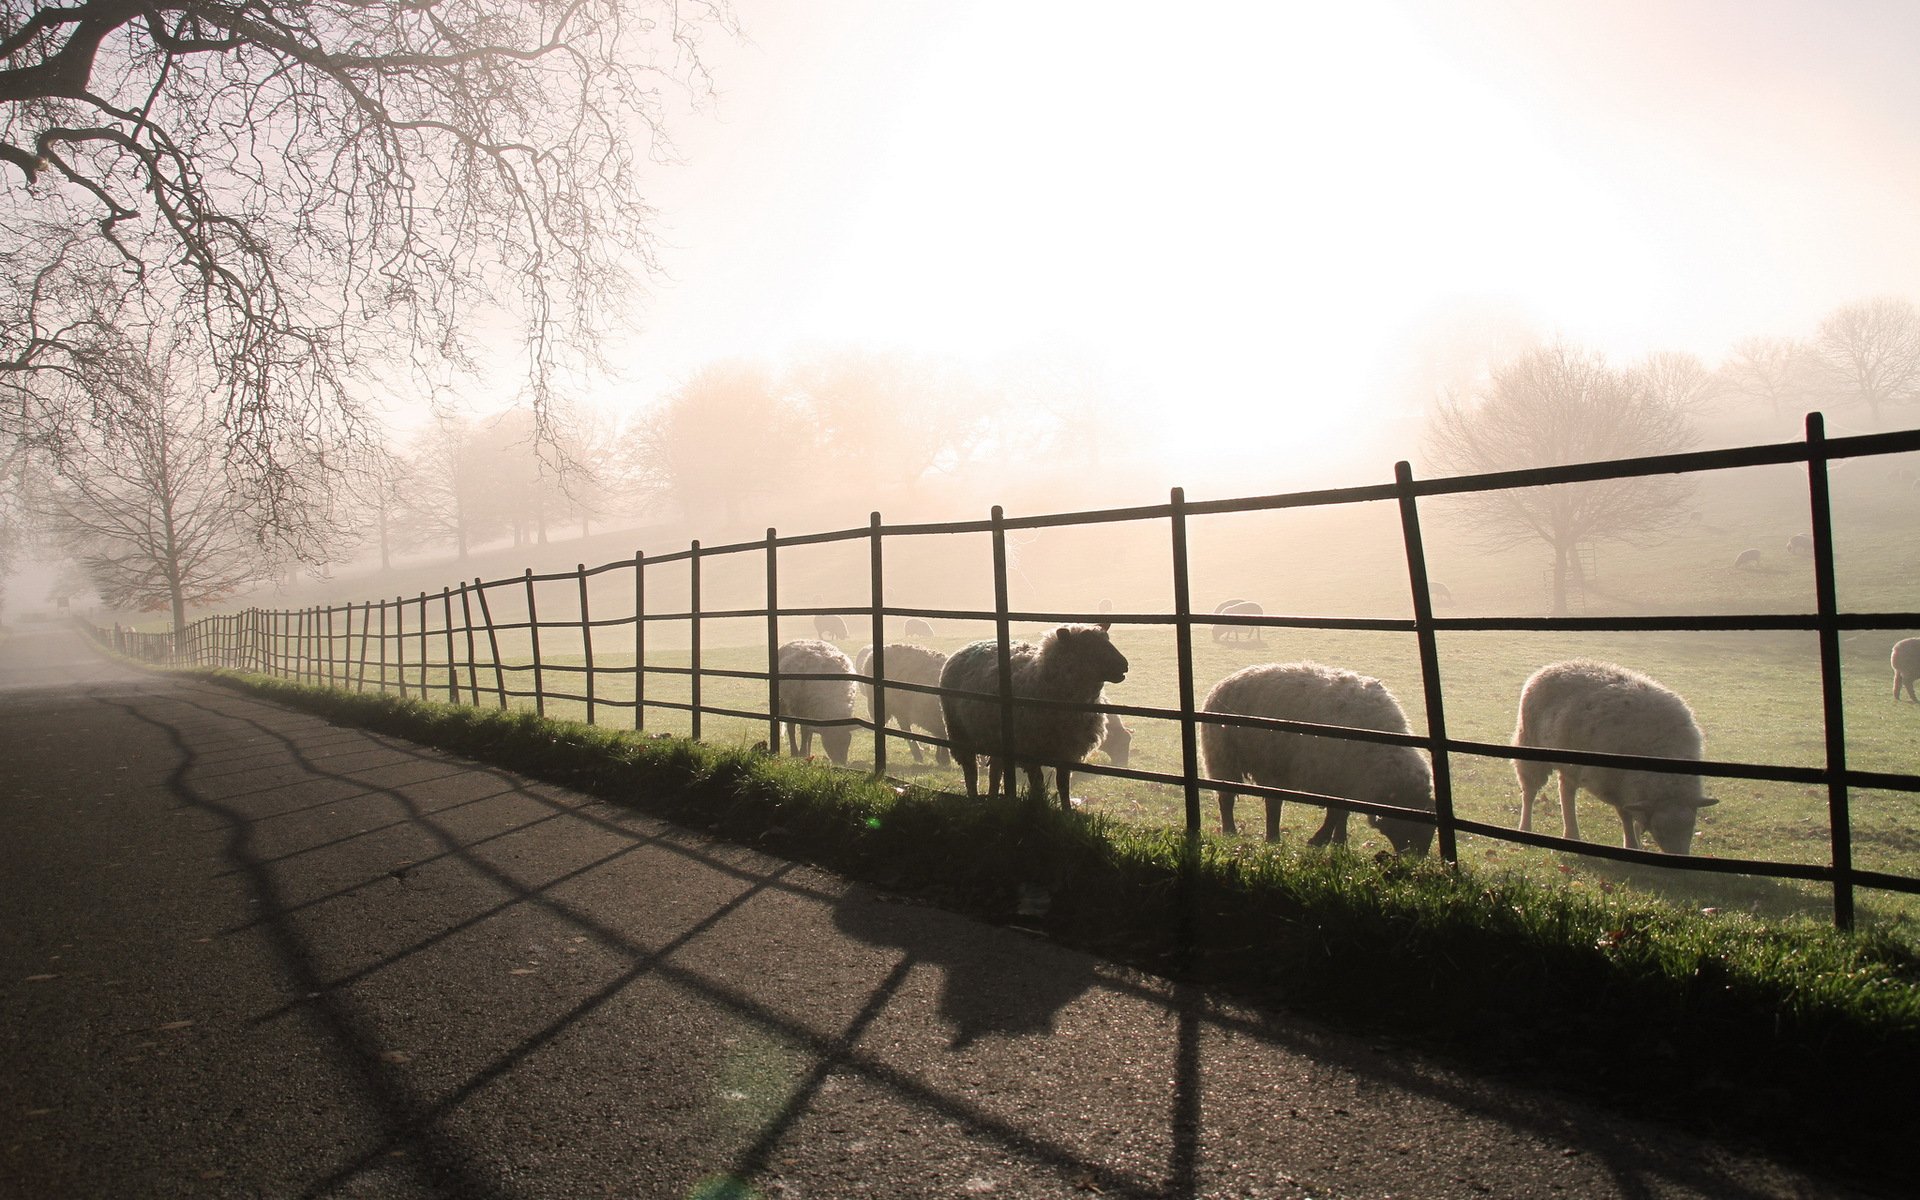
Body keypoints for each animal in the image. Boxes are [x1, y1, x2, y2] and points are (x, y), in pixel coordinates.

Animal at [938, 623, 1129, 809]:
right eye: (1087, 644)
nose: (1125, 665)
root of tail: (968, 646)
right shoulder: (1030, 750)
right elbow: (1038, 784)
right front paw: (1040, 805)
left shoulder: (1067, 751)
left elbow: (1063, 784)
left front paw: (1067, 810)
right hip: (959, 731)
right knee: (970, 769)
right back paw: (973, 797)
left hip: (997, 738)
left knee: (995, 771)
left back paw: (992, 798)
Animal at [1199, 662, 1435, 855]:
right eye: (1414, 824)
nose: (1417, 859)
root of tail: (1224, 682)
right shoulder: (1331, 777)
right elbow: (1335, 813)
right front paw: (1320, 840)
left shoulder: (1345, 783)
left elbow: (1342, 814)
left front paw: (1339, 844)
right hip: (1223, 757)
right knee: (1228, 799)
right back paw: (1238, 833)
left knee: (1272, 803)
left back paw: (1271, 838)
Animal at [1512, 659, 1717, 855]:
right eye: (1659, 830)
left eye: (1692, 827)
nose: (1678, 858)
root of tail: (1551, 667)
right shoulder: (1615, 783)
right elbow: (1626, 816)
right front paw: (1631, 845)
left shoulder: (1631, 789)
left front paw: (1637, 843)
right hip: (1530, 748)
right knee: (1529, 793)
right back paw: (1526, 829)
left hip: (1569, 764)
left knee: (1565, 790)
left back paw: (1571, 835)